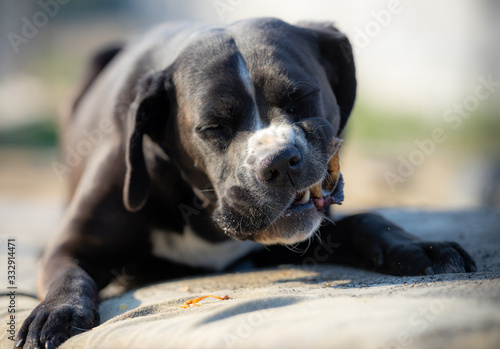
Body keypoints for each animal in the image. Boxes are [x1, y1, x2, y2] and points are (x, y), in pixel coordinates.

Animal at [16, 19, 476, 348]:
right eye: (213, 127)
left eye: (301, 98)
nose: (282, 162)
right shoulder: (72, 244)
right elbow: (68, 273)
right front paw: (56, 312)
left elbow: (368, 221)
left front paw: (420, 247)